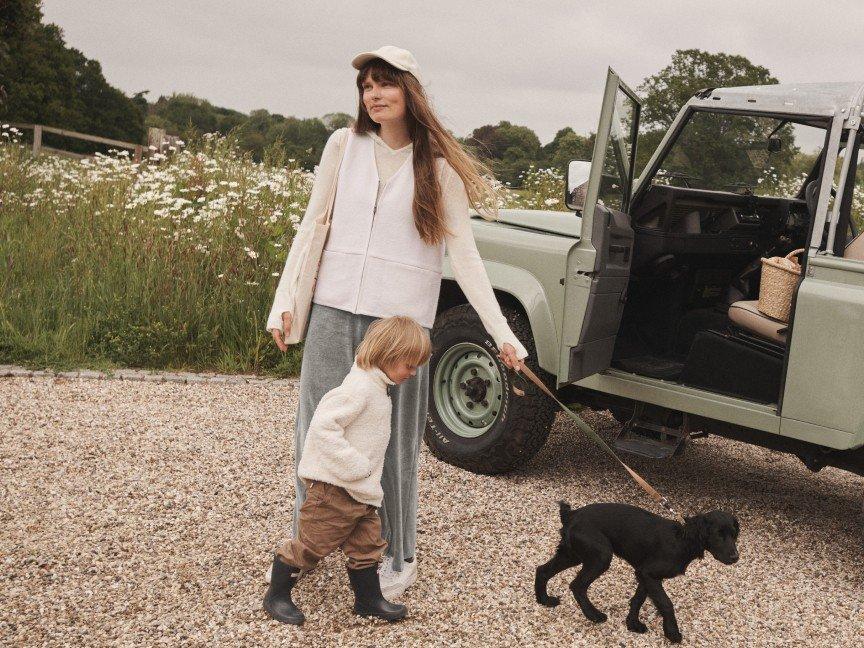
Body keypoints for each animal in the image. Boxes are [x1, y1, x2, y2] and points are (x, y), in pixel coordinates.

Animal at [536, 502, 740, 644]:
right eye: (718, 534)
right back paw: (593, 615)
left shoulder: (645, 575)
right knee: (577, 585)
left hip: (572, 554)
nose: (735, 557)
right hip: (600, 556)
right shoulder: (649, 574)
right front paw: (672, 632)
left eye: (734, 534)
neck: (682, 540)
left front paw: (632, 624)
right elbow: (666, 603)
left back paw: (544, 600)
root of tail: (571, 514)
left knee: (542, 570)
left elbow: (637, 599)